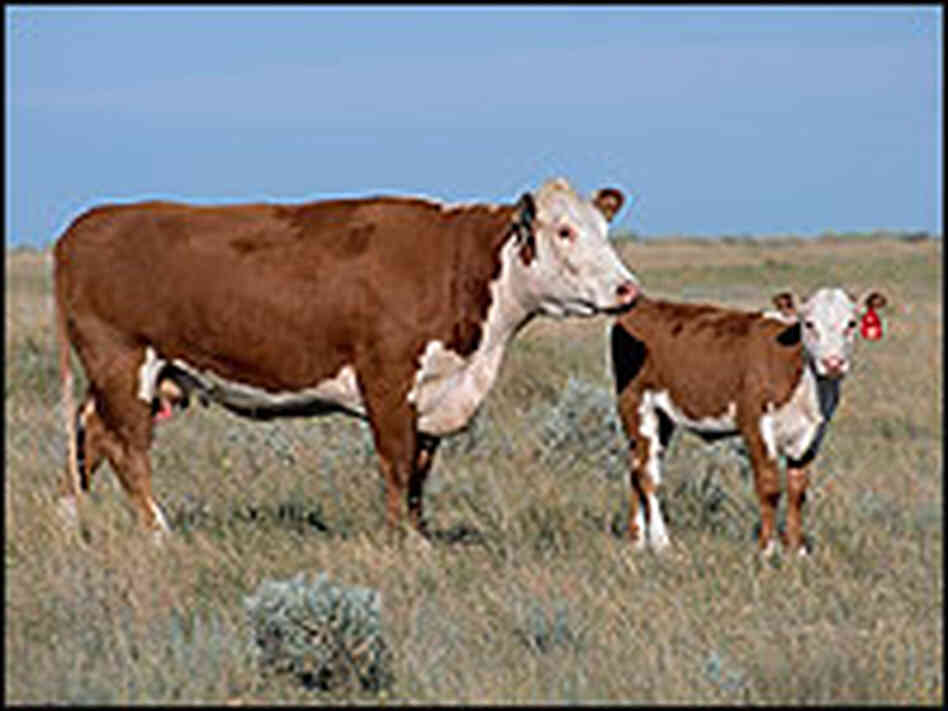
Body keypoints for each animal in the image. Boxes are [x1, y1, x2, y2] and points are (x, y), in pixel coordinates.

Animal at [53, 177, 641, 541]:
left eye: (603, 229)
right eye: (564, 231)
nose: (627, 289)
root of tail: (83, 226)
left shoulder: (433, 393)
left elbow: (420, 473)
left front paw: (420, 533)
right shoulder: (387, 380)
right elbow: (397, 464)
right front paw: (407, 544)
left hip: (135, 376)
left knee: (89, 436)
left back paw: (70, 518)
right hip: (122, 362)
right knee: (127, 449)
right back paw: (159, 532)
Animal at [608, 287, 888, 557]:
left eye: (851, 323)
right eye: (808, 323)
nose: (833, 363)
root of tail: (644, 304)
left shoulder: (813, 435)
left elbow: (798, 491)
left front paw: (797, 550)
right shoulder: (754, 424)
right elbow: (769, 487)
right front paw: (768, 548)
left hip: (662, 417)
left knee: (636, 468)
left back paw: (636, 541)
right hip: (635, 404)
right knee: (647, 474)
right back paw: (660, 542)